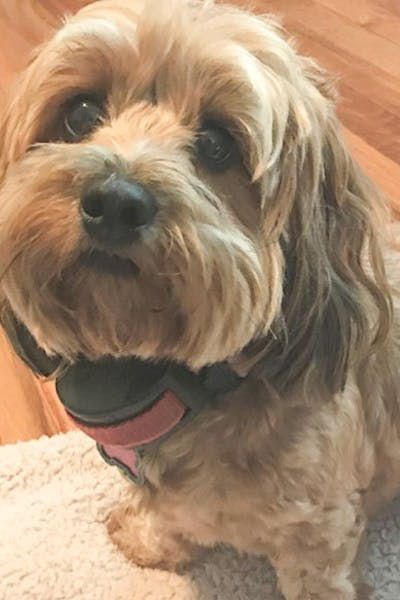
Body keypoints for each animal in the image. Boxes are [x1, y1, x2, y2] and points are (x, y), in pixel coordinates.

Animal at [0, 1, 400, 600]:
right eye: (81, 112)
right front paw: (151, 539)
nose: (115, 201)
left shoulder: (319, 533)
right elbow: (173, 519)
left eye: (217, 143)